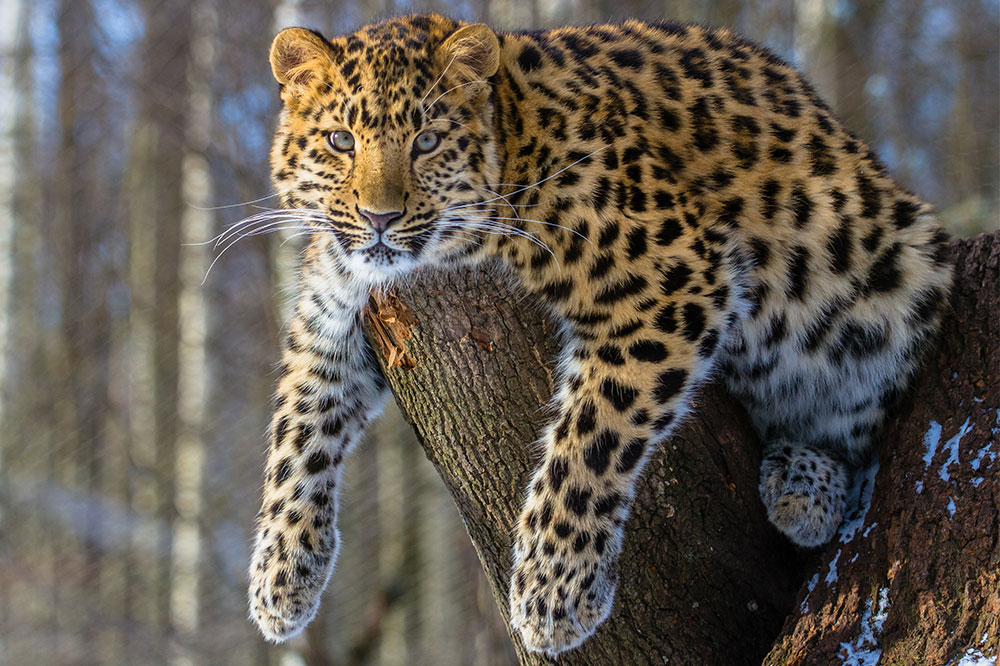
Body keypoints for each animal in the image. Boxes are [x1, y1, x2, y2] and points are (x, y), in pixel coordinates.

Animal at [247, 14, 953, 656]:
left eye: (426, 141)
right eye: (340, 140)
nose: (380, 218)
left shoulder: (676, 278)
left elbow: (593, 432)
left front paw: (552, 592)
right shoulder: (331, 312)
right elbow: (297, 427)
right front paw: (278, 579)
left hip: (896, 279)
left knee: (860, 432)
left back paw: (806, 486)